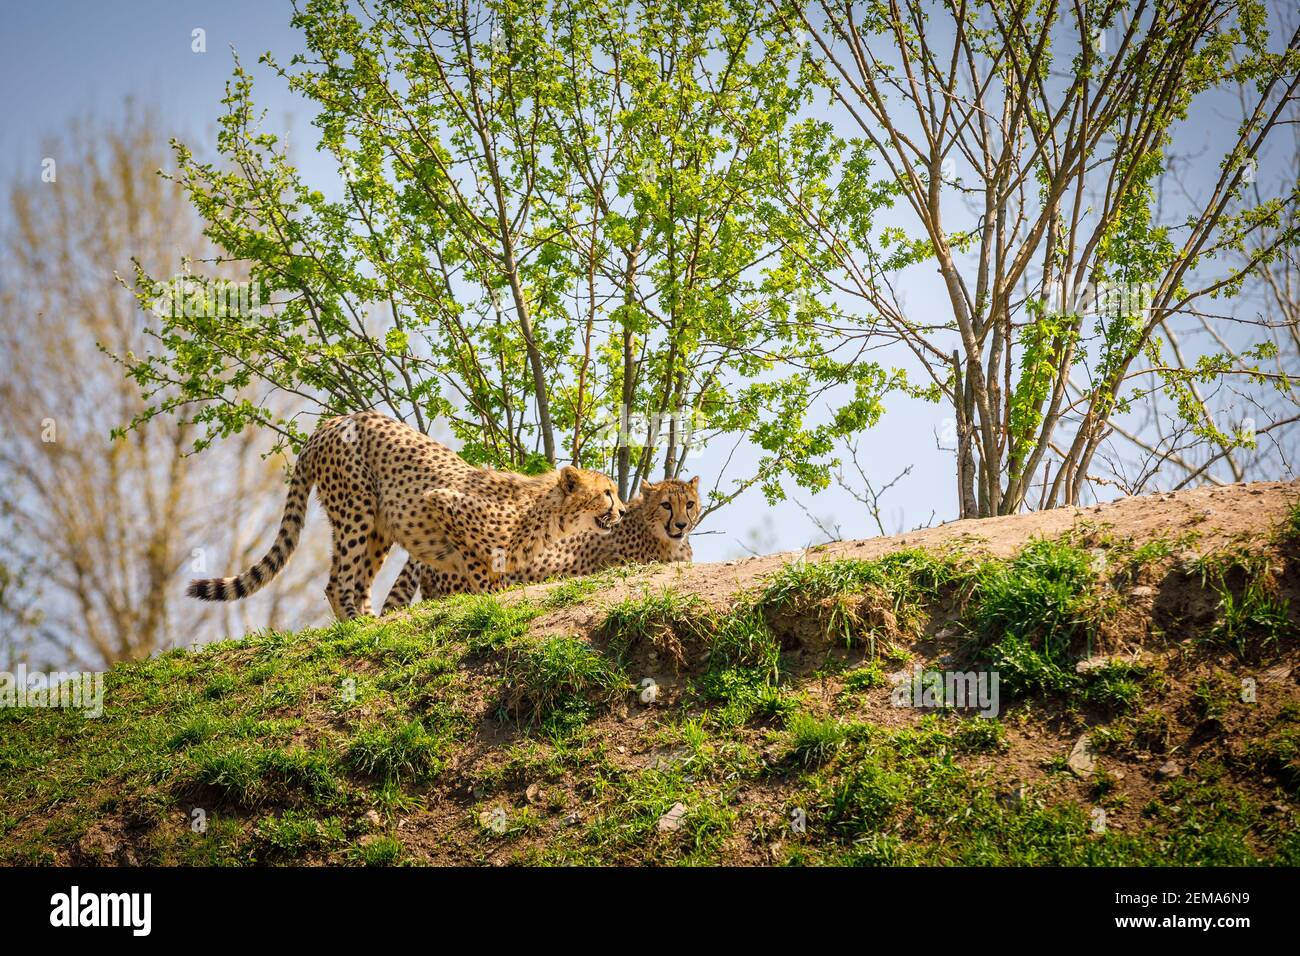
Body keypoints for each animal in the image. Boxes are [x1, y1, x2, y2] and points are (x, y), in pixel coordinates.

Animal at [185, 411, 626, 621]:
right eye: (607, 492)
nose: (622, 510)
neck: (545, 513)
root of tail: (331, 422)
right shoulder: (444, 504)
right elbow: (483, 577)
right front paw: (490, 597)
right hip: (356, 508)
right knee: (337, 581)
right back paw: (356, 626)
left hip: (380, 527)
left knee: (360, 583)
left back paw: (373, 621)